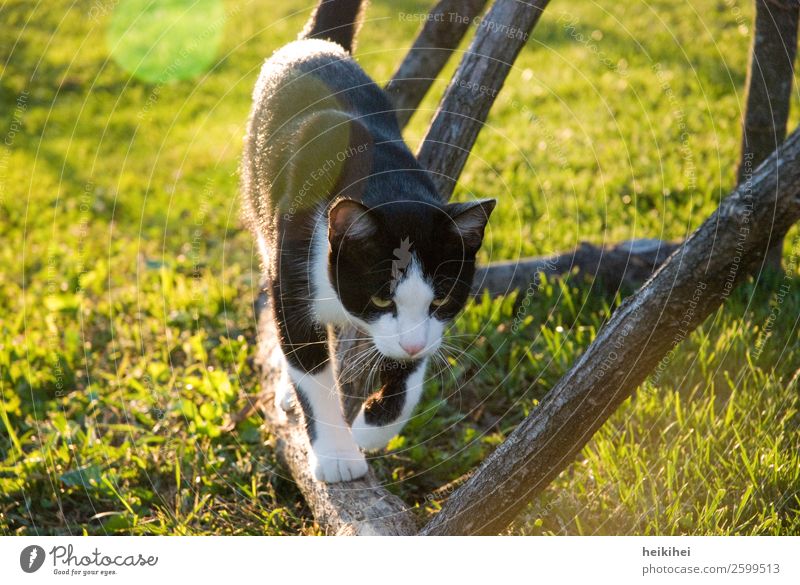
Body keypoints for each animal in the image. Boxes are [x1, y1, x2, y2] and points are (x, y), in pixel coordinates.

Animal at [242, 0, 494, 482]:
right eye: (380, 299)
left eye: (441, 300)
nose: (412, 343)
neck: (384, 180)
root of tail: (317, 43)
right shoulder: (294, 268)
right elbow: (310, 364)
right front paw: (339, 456)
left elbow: (414, 359)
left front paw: (375, 427)